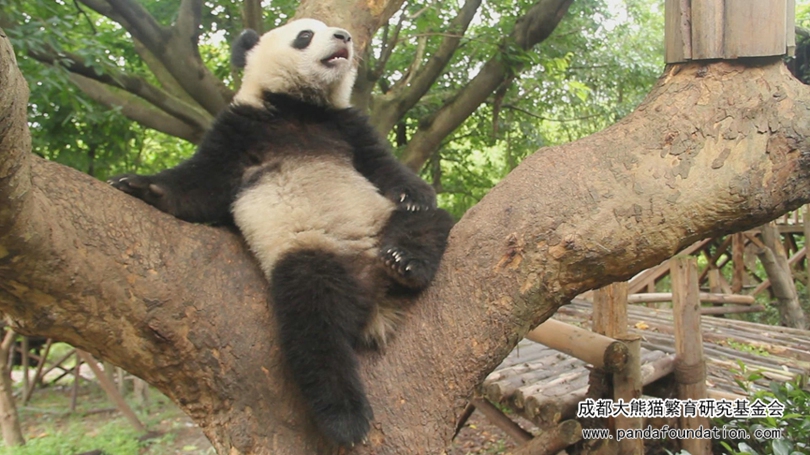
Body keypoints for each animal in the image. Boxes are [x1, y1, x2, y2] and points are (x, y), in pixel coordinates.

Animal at [108, 18, 453, 447]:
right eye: (305, 35)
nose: (344, 36)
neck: (300, 106)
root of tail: (374, 295)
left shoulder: (348, 125)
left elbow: (382, 163)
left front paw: (416, 194)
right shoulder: (240, 126)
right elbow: (200, 184)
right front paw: (137, 185)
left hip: (379, 221)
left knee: (426, 226)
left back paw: (405, 261)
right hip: (308, 254)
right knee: (312, 326)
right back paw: (344, 417)